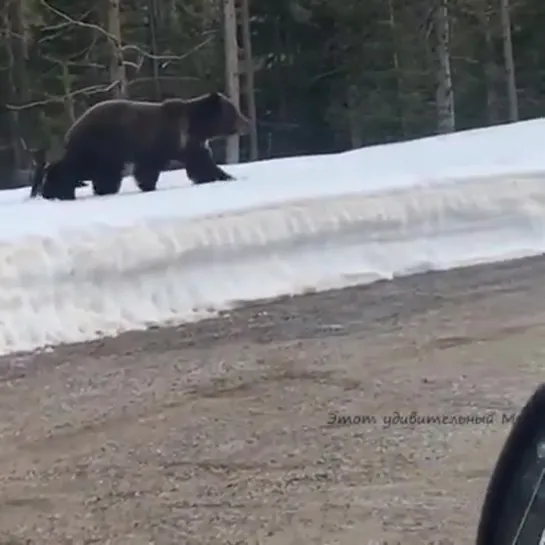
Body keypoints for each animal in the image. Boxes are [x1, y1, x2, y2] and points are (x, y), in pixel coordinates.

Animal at [30, 92, 248, 201]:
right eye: (234, 111)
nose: (247, 122)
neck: (194, 127)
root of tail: (74, 126)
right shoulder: (159, 141)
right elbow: (148, 168)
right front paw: (148, 186)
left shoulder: (192, 145)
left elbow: (203, 165)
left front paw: (225, 176)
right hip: (100, 145)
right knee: (77, 167)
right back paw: (58, 191)